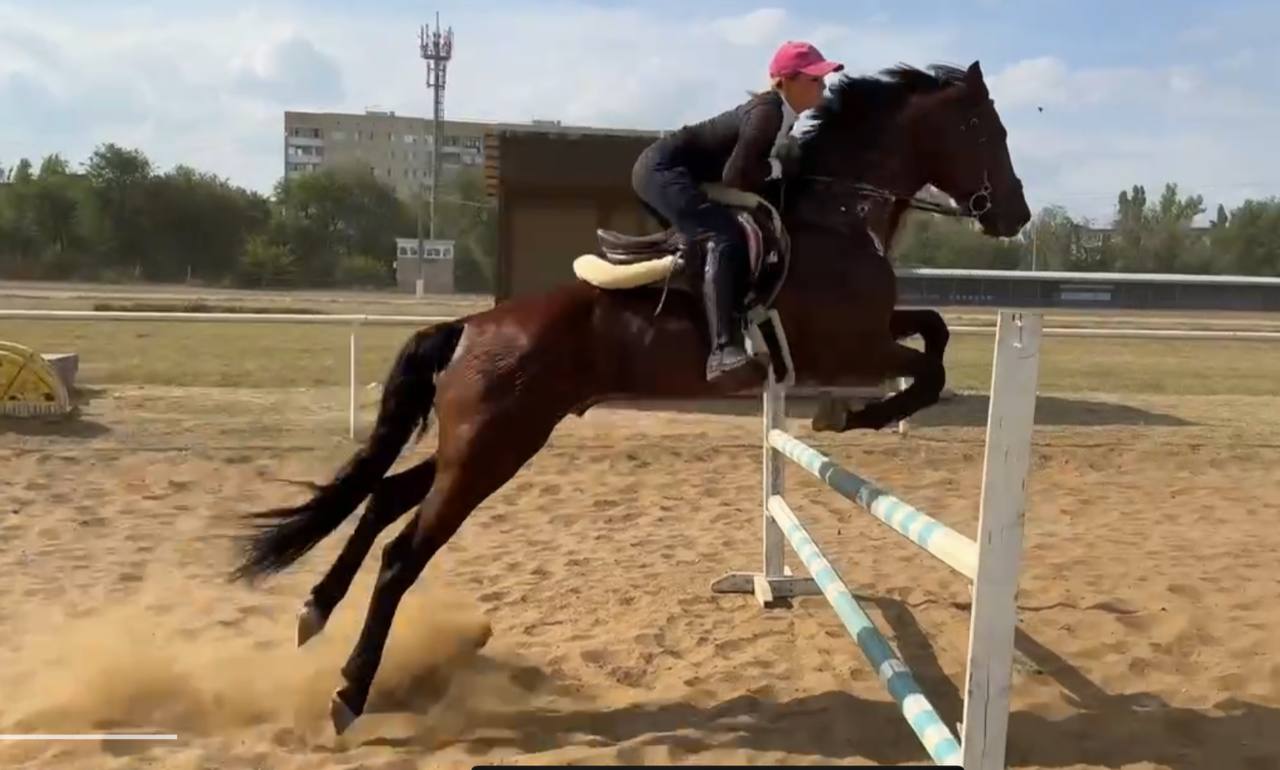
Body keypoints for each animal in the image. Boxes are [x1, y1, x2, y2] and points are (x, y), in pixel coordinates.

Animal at [227, 58, 1029, 731]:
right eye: (986, 130)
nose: (1016, 215)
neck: (835, 217)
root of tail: (468, 327)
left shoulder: (872, 330)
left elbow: (935, 333)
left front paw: (854, 413)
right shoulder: (847, 346)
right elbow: (927, 368)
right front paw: (851, 414)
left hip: (490, 442)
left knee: (384, 496)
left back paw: (314, 611)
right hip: (493, 448)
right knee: (402, 553)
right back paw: (349, 691)